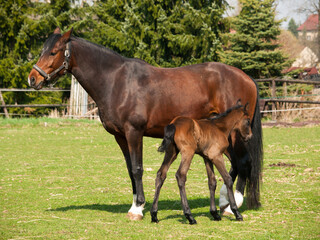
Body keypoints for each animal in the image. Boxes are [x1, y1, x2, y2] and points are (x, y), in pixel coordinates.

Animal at [27, 27, 262, 220]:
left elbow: (138, 168)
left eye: (53, 52)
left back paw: (232, 205)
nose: (32, 79)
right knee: (235, 163)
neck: (116, 81)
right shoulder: (120, 136)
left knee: (243, 162)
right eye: (42, 50)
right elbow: (130, 169)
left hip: (235, 133)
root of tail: (247, 78)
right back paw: (224, 202)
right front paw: (134, 205)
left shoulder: (134, 132)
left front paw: (138, 208)